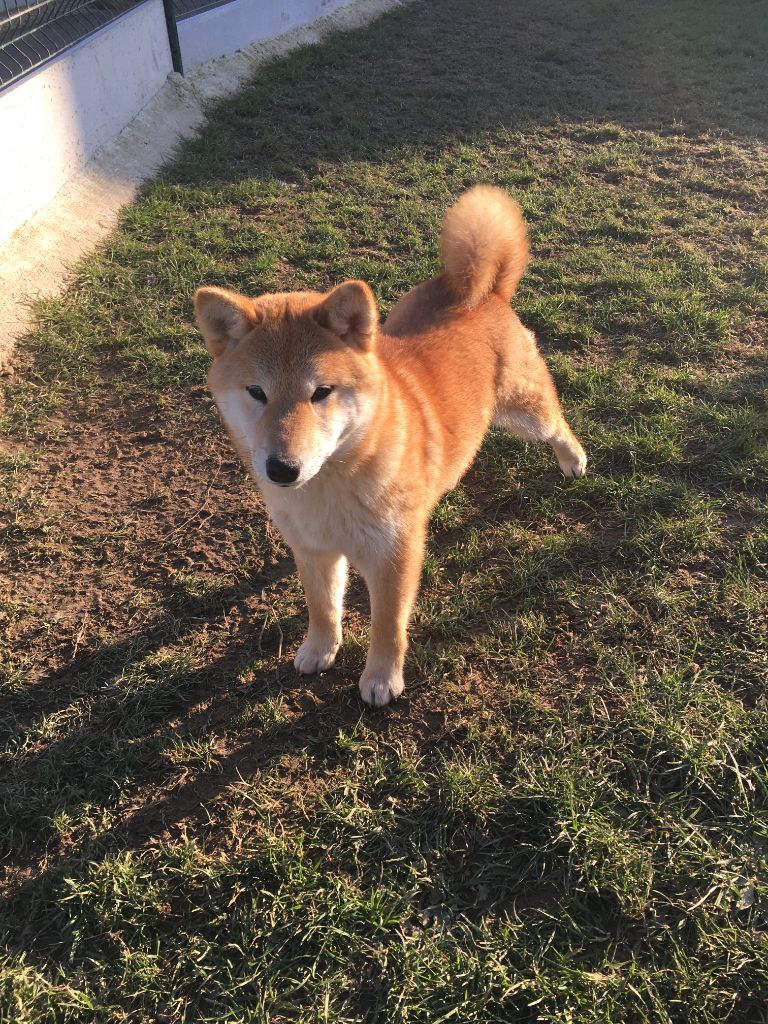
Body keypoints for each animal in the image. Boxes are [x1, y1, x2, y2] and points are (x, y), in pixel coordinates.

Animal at [195, 186, 585, 704]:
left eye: (321, 392)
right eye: (256, 392)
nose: (281, 468)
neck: (330, 487)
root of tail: (482, 292)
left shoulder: (393, 556)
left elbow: (388, 625)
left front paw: (381, 677)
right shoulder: (314, 551)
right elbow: (322, 608)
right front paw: (319, 649)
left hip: (526, 411)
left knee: (558, 422)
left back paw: (574, 459)